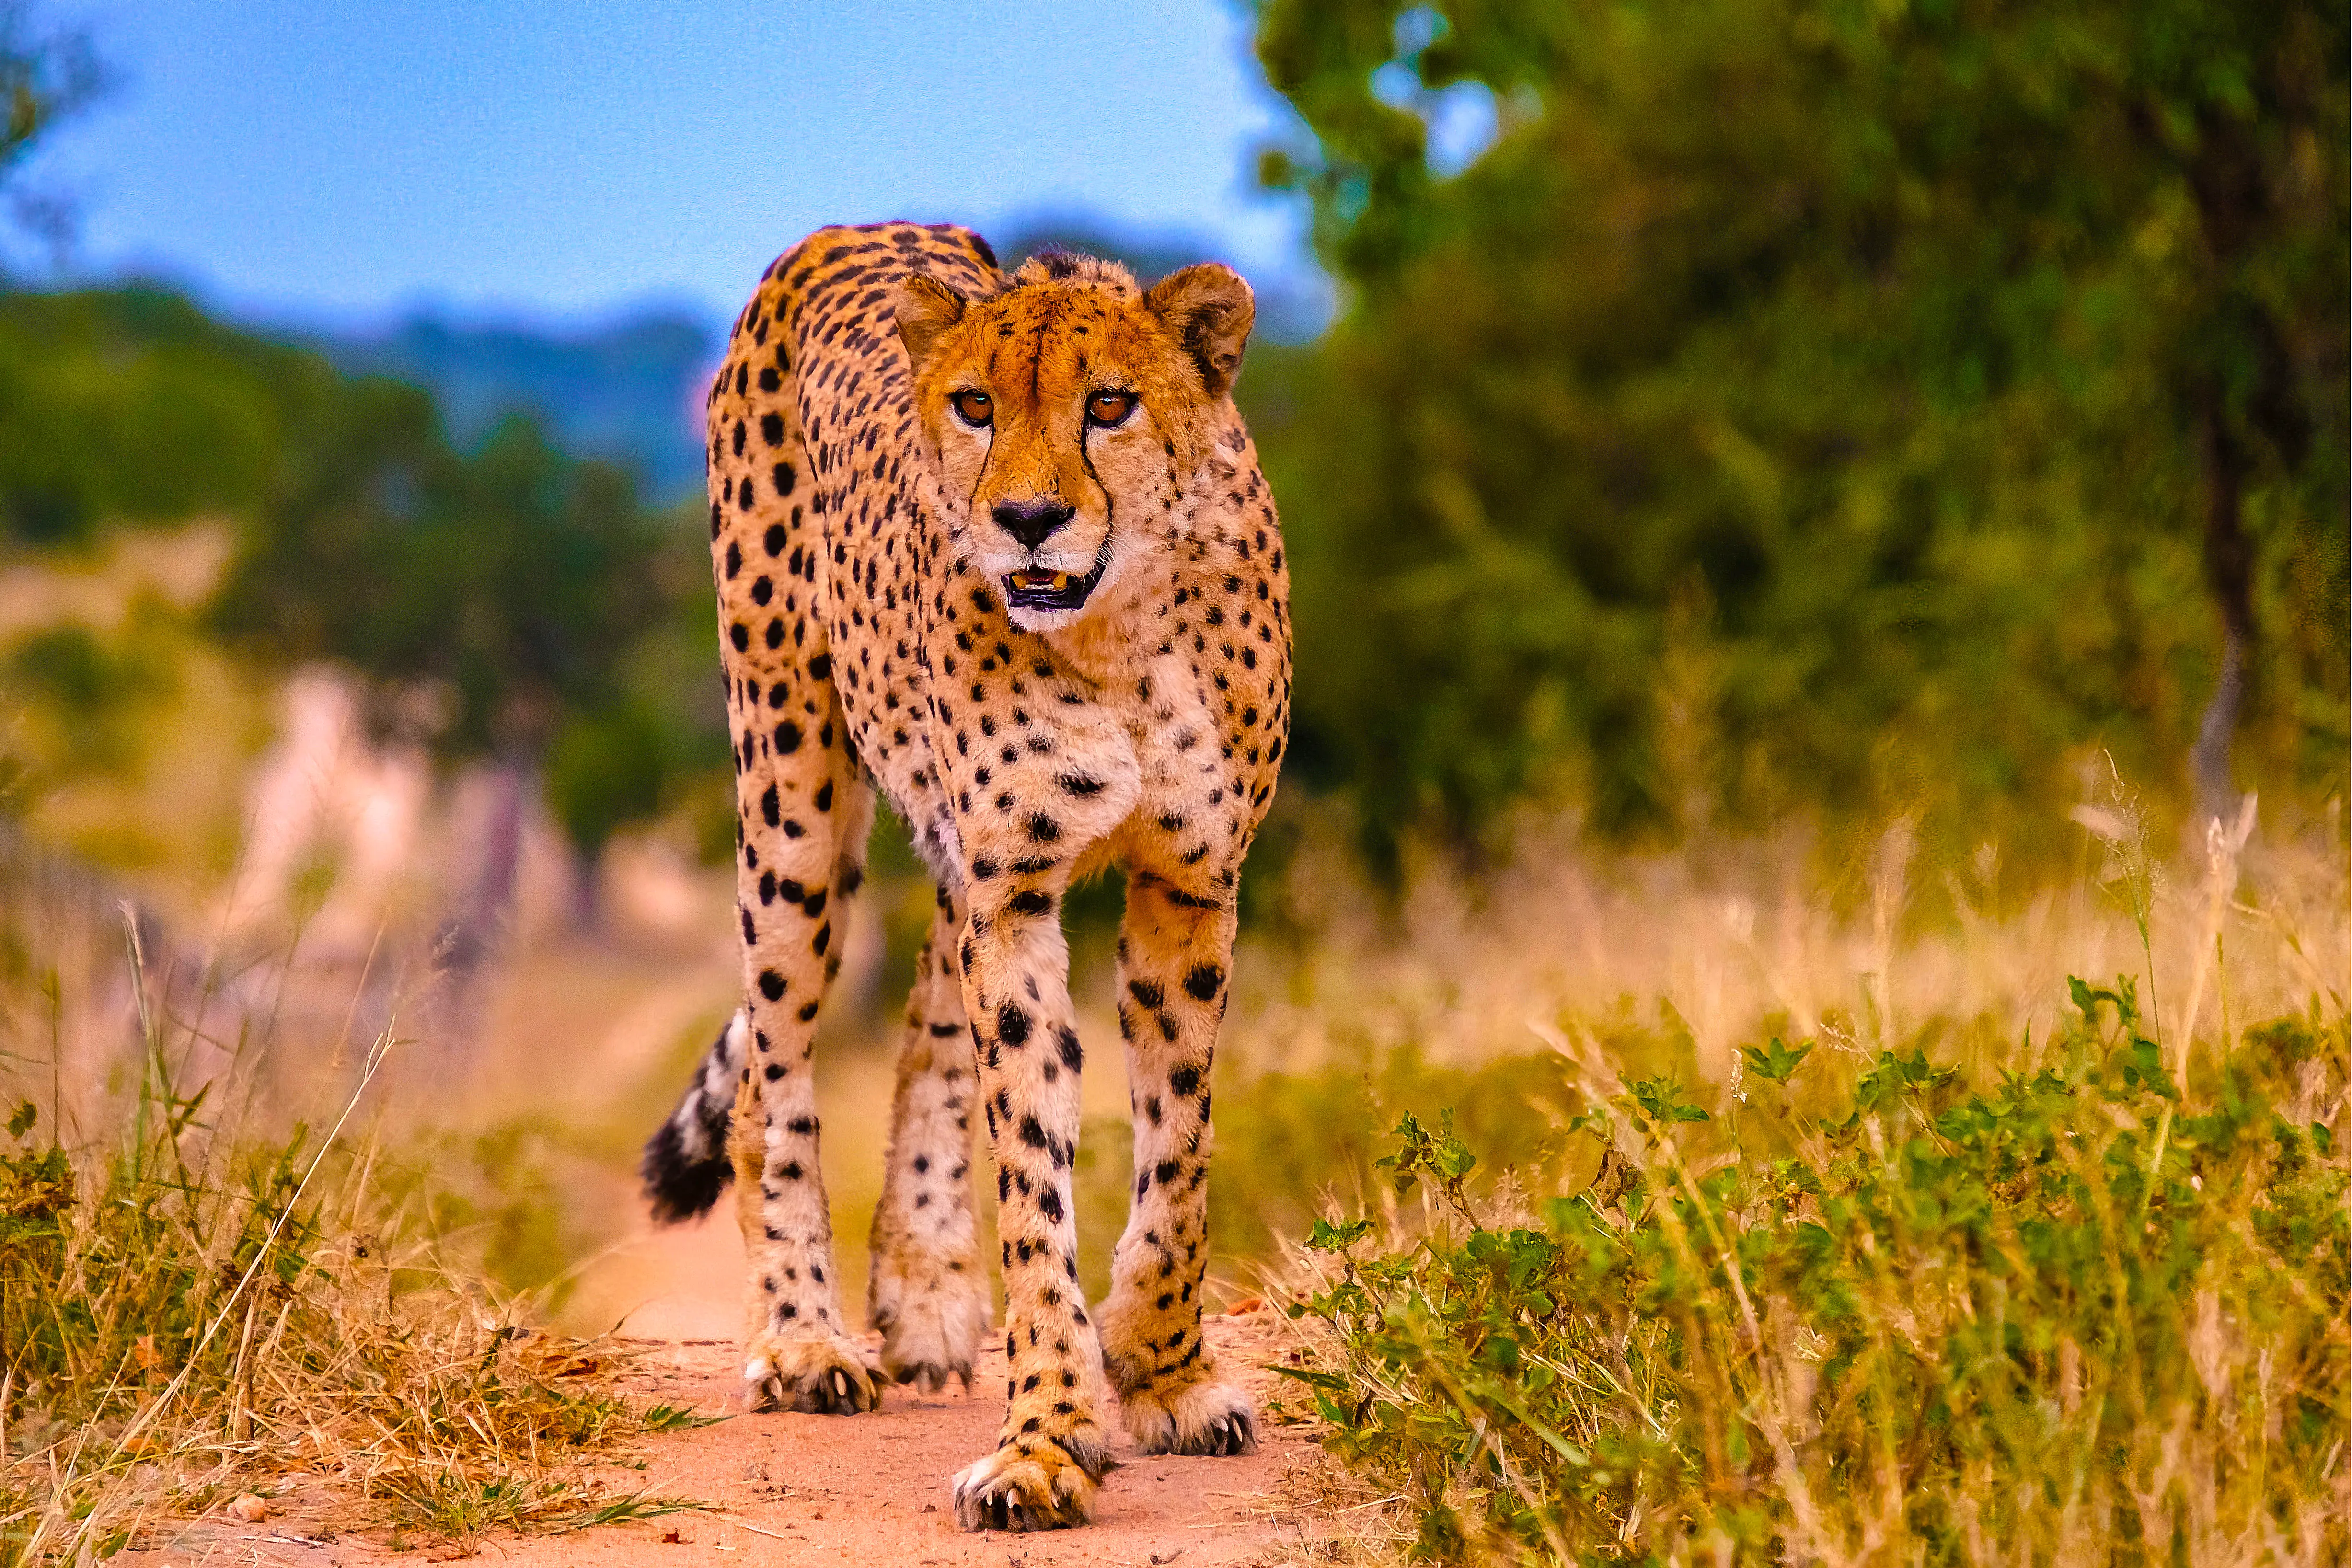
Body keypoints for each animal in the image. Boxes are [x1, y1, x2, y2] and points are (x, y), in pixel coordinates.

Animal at [637, 221, 1291, 1532]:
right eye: (976, 405)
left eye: (1110, 404)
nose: (1028, 520)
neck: (1121, 630)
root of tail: (841, 232)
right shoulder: (1018, 889)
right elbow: (1034, 1174)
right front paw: (1046, 1439)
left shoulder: (1189, 884)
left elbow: (1181, 1152)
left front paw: (1161, 1366)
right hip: (790, 790)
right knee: (774, 1069)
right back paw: (802, 1336)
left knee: (928, 1007)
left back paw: (925, 1285)